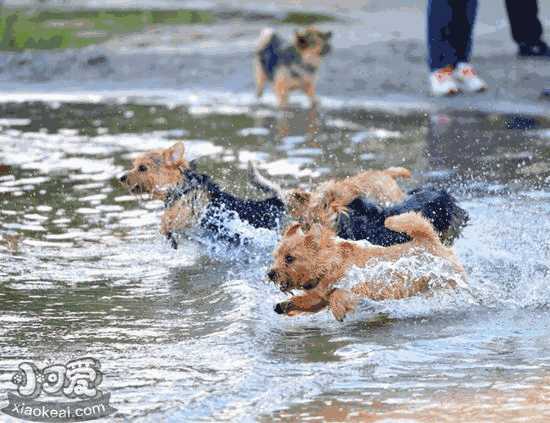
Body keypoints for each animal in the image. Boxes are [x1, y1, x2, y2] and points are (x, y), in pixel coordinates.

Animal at [270, 212, 468, 322]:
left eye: (289, 258)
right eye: (275, 256)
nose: (270, 273)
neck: (332, 264)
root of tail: (429, 241)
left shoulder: (360, 286)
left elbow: (337, 294)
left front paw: (338, 311)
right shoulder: (318, 296)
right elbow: (307, 301)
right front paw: (284, 305)